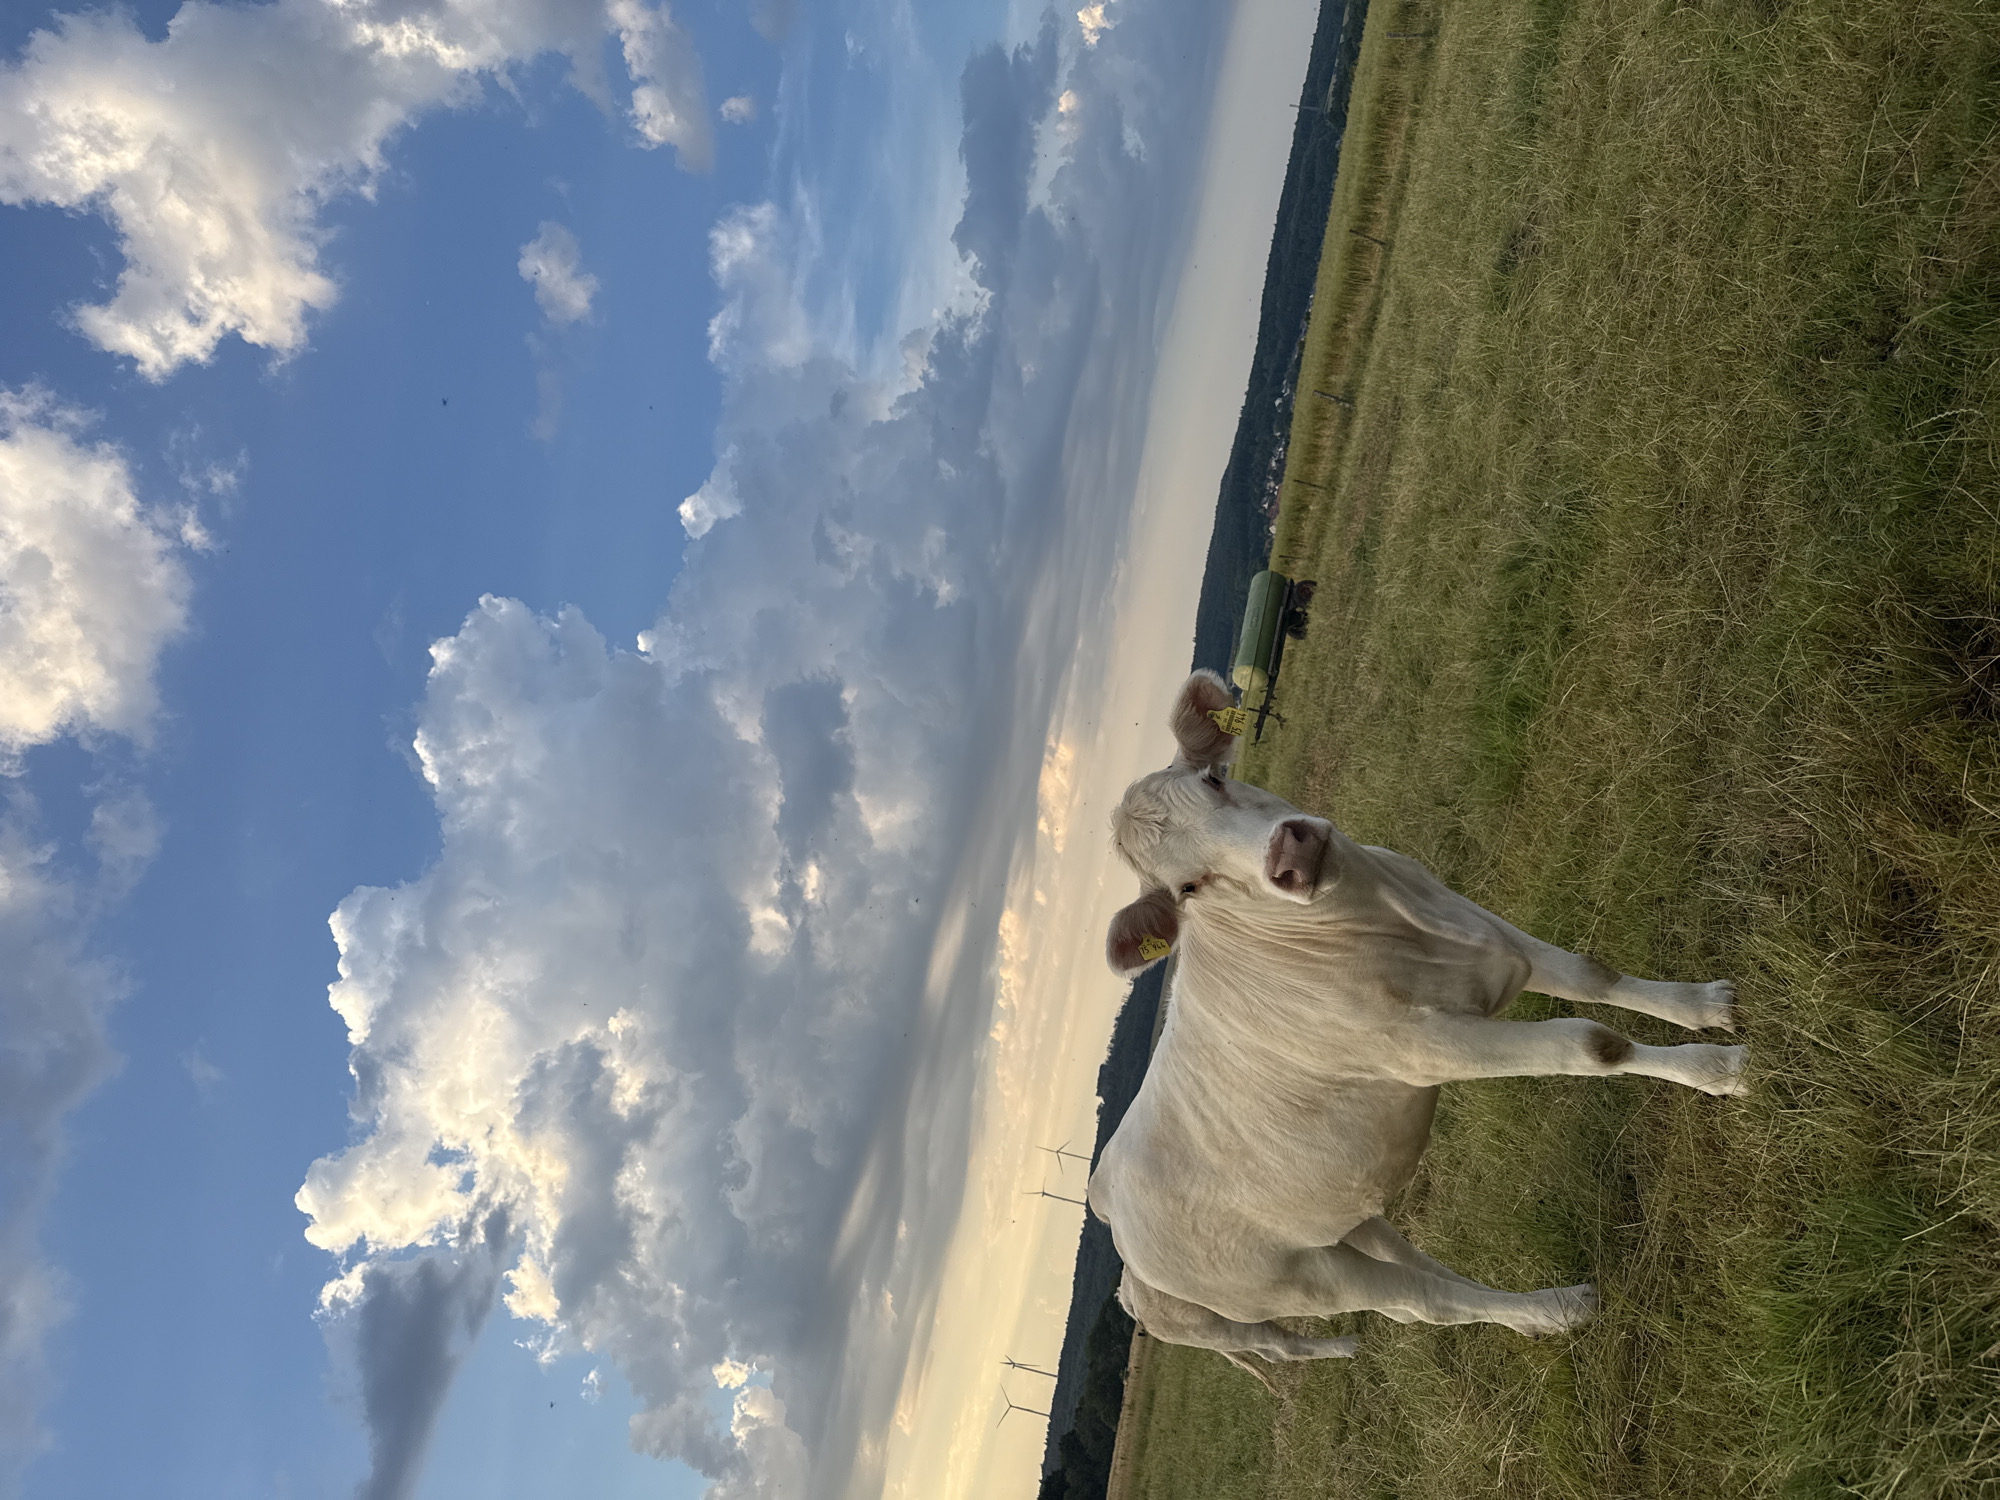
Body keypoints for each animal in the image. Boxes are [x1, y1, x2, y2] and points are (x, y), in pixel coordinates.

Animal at [1089, 669, 1747, 1367]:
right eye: (1188, 887)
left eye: (1215, 778)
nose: (1290, 850)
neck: (1398, 920)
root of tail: (1111, 1210)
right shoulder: (1427, 1047)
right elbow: (1593, 1045)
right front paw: (1721, 1070)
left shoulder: (1488, 931)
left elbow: (1593, 975)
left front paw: (1706, 1006)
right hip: (1295, 1282)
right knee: (1417, 1302)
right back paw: (1556, 1310)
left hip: (1349, 1220)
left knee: (1420, 1270)